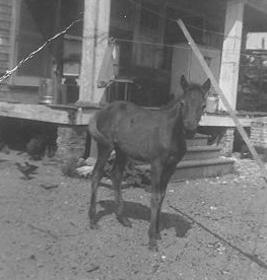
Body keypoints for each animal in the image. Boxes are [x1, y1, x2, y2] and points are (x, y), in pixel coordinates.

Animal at [87, 75, 210, 250]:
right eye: (182, 103)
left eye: (203, 105)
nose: (190, 130)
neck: (171, 133)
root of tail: (103, 110)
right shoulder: (156, 164)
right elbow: (155, 196)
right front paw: (152, 238)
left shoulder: (171, 167)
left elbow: (162, 195)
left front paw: (157, 232)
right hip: (105, 146)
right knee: (97, 174)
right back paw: (92, 219)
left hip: (121, 151)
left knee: (116, 175)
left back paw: (122, 218)